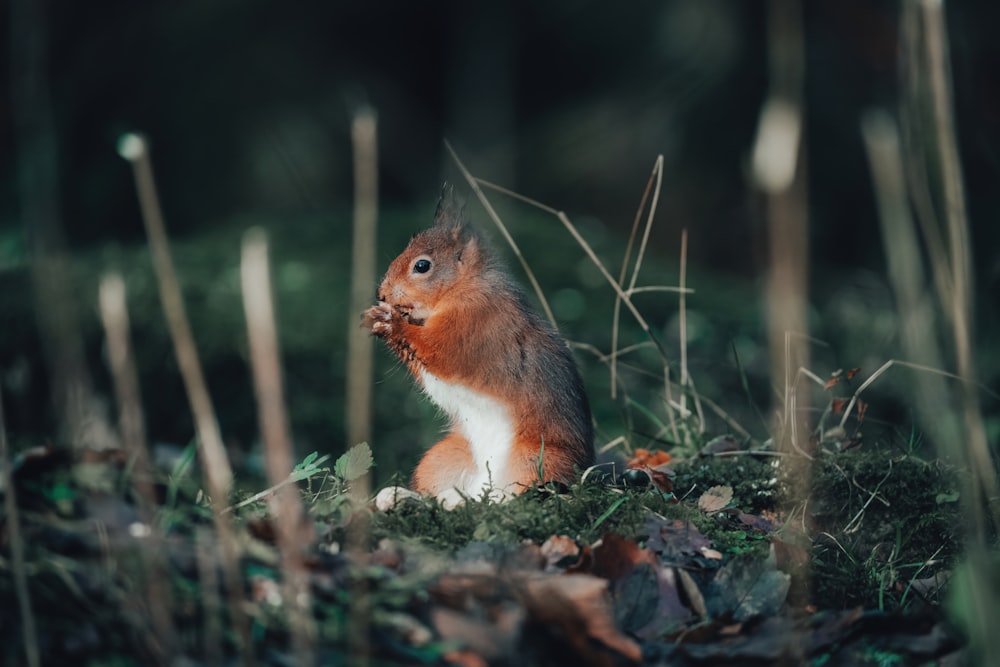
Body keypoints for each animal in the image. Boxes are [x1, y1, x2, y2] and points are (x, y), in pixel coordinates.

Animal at [366, 185, 592, 508]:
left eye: (422, 266)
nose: (381, 293)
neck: (463, 287)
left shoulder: (473, 325)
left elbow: (439, 351)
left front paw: (391, 322)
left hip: (538, 461)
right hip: (442, 458)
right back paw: (405, 498)